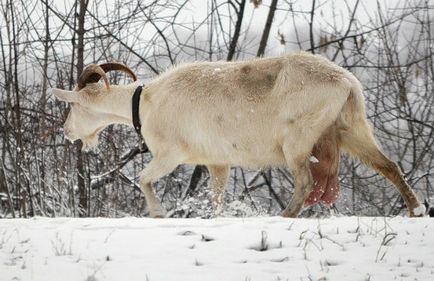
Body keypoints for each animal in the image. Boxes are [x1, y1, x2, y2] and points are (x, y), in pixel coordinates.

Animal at [50, 53, 424, 219]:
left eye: (74, 107)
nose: (66, 133)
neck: (146, 102)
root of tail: (347, 83)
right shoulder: (218, 162)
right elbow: (216, 197)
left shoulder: (170, 155)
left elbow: (144, 178)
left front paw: (158, 214)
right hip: (350, 128)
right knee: (388, 165)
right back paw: (417, 209)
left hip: (298, 139)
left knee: (304, 180)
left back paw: (284, 216)